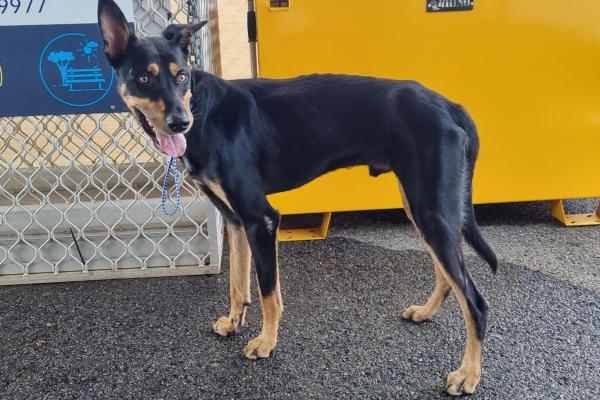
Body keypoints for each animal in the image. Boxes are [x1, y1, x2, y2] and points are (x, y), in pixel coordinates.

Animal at [98, 0, 496, 394]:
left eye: (181, 75)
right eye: (143, 78)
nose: (180, 123)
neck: (204, 112)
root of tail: (449, 104)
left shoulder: (261, 218)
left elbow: (267, 291)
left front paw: (266, 342)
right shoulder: (234, 219)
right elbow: (237, 284)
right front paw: (233, 322)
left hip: (430, 210)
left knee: (475, 302)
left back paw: (468, 375)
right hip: (422, 207)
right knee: (448, 277)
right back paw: (426, 313)